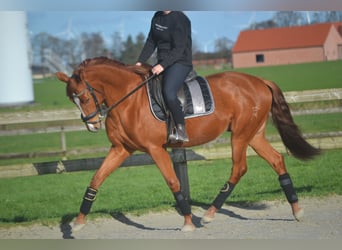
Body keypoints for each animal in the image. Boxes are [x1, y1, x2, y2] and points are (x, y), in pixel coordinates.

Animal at [56, 57, 320, 232]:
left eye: (84, 97)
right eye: (72, 99)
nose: (92, 125)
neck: (129, 99)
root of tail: (259, 80)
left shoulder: (155, 149)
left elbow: (173, 182)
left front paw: (187, 222)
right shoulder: (121, 149)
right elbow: (96, 179)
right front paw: (78, 222)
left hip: (240, 136)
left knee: (239, 168)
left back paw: (209, 214)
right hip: (254, 135)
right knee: (277, 160)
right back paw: (297, 210)